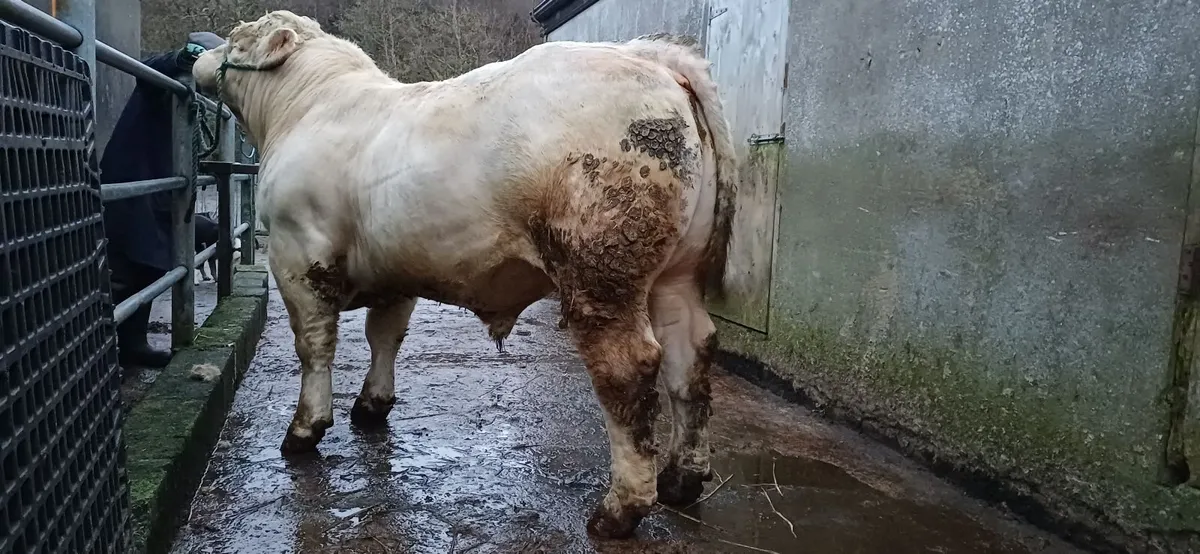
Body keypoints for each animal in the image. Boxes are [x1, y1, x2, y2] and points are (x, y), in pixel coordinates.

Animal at [192, 10, 737, 539]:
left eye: (238, 38)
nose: (198, 58)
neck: (305, 108)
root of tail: (647, 56)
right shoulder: (395, 270)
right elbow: (384, 336)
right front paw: (372, 406)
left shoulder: (298, 256)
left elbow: (313, 346)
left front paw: (305, 429)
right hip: (677, 273)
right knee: (691, 353)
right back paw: (682, 479)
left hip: (600, 271)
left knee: (628, 369)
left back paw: (619, 510)